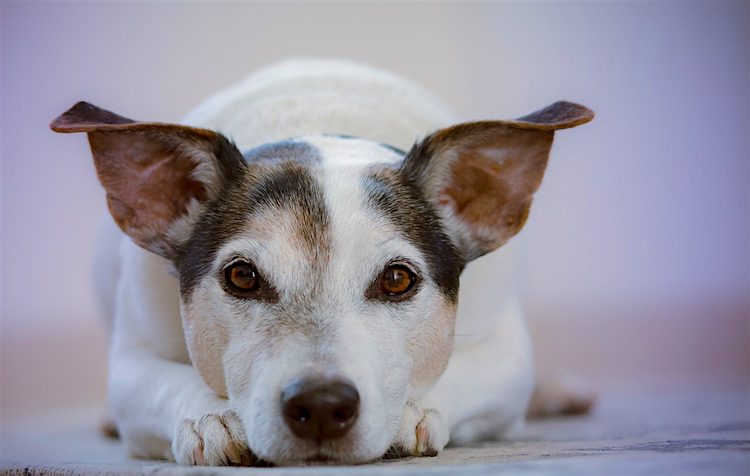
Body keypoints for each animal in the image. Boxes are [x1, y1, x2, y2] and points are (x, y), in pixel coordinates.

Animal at [51, 58, 592, 464]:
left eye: (398, 279)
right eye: (241, 276)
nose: (322, 404)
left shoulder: (507, 353)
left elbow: (466, 372)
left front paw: (412, 411)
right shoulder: (132, 359)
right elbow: (161, 382)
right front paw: (211, 417)